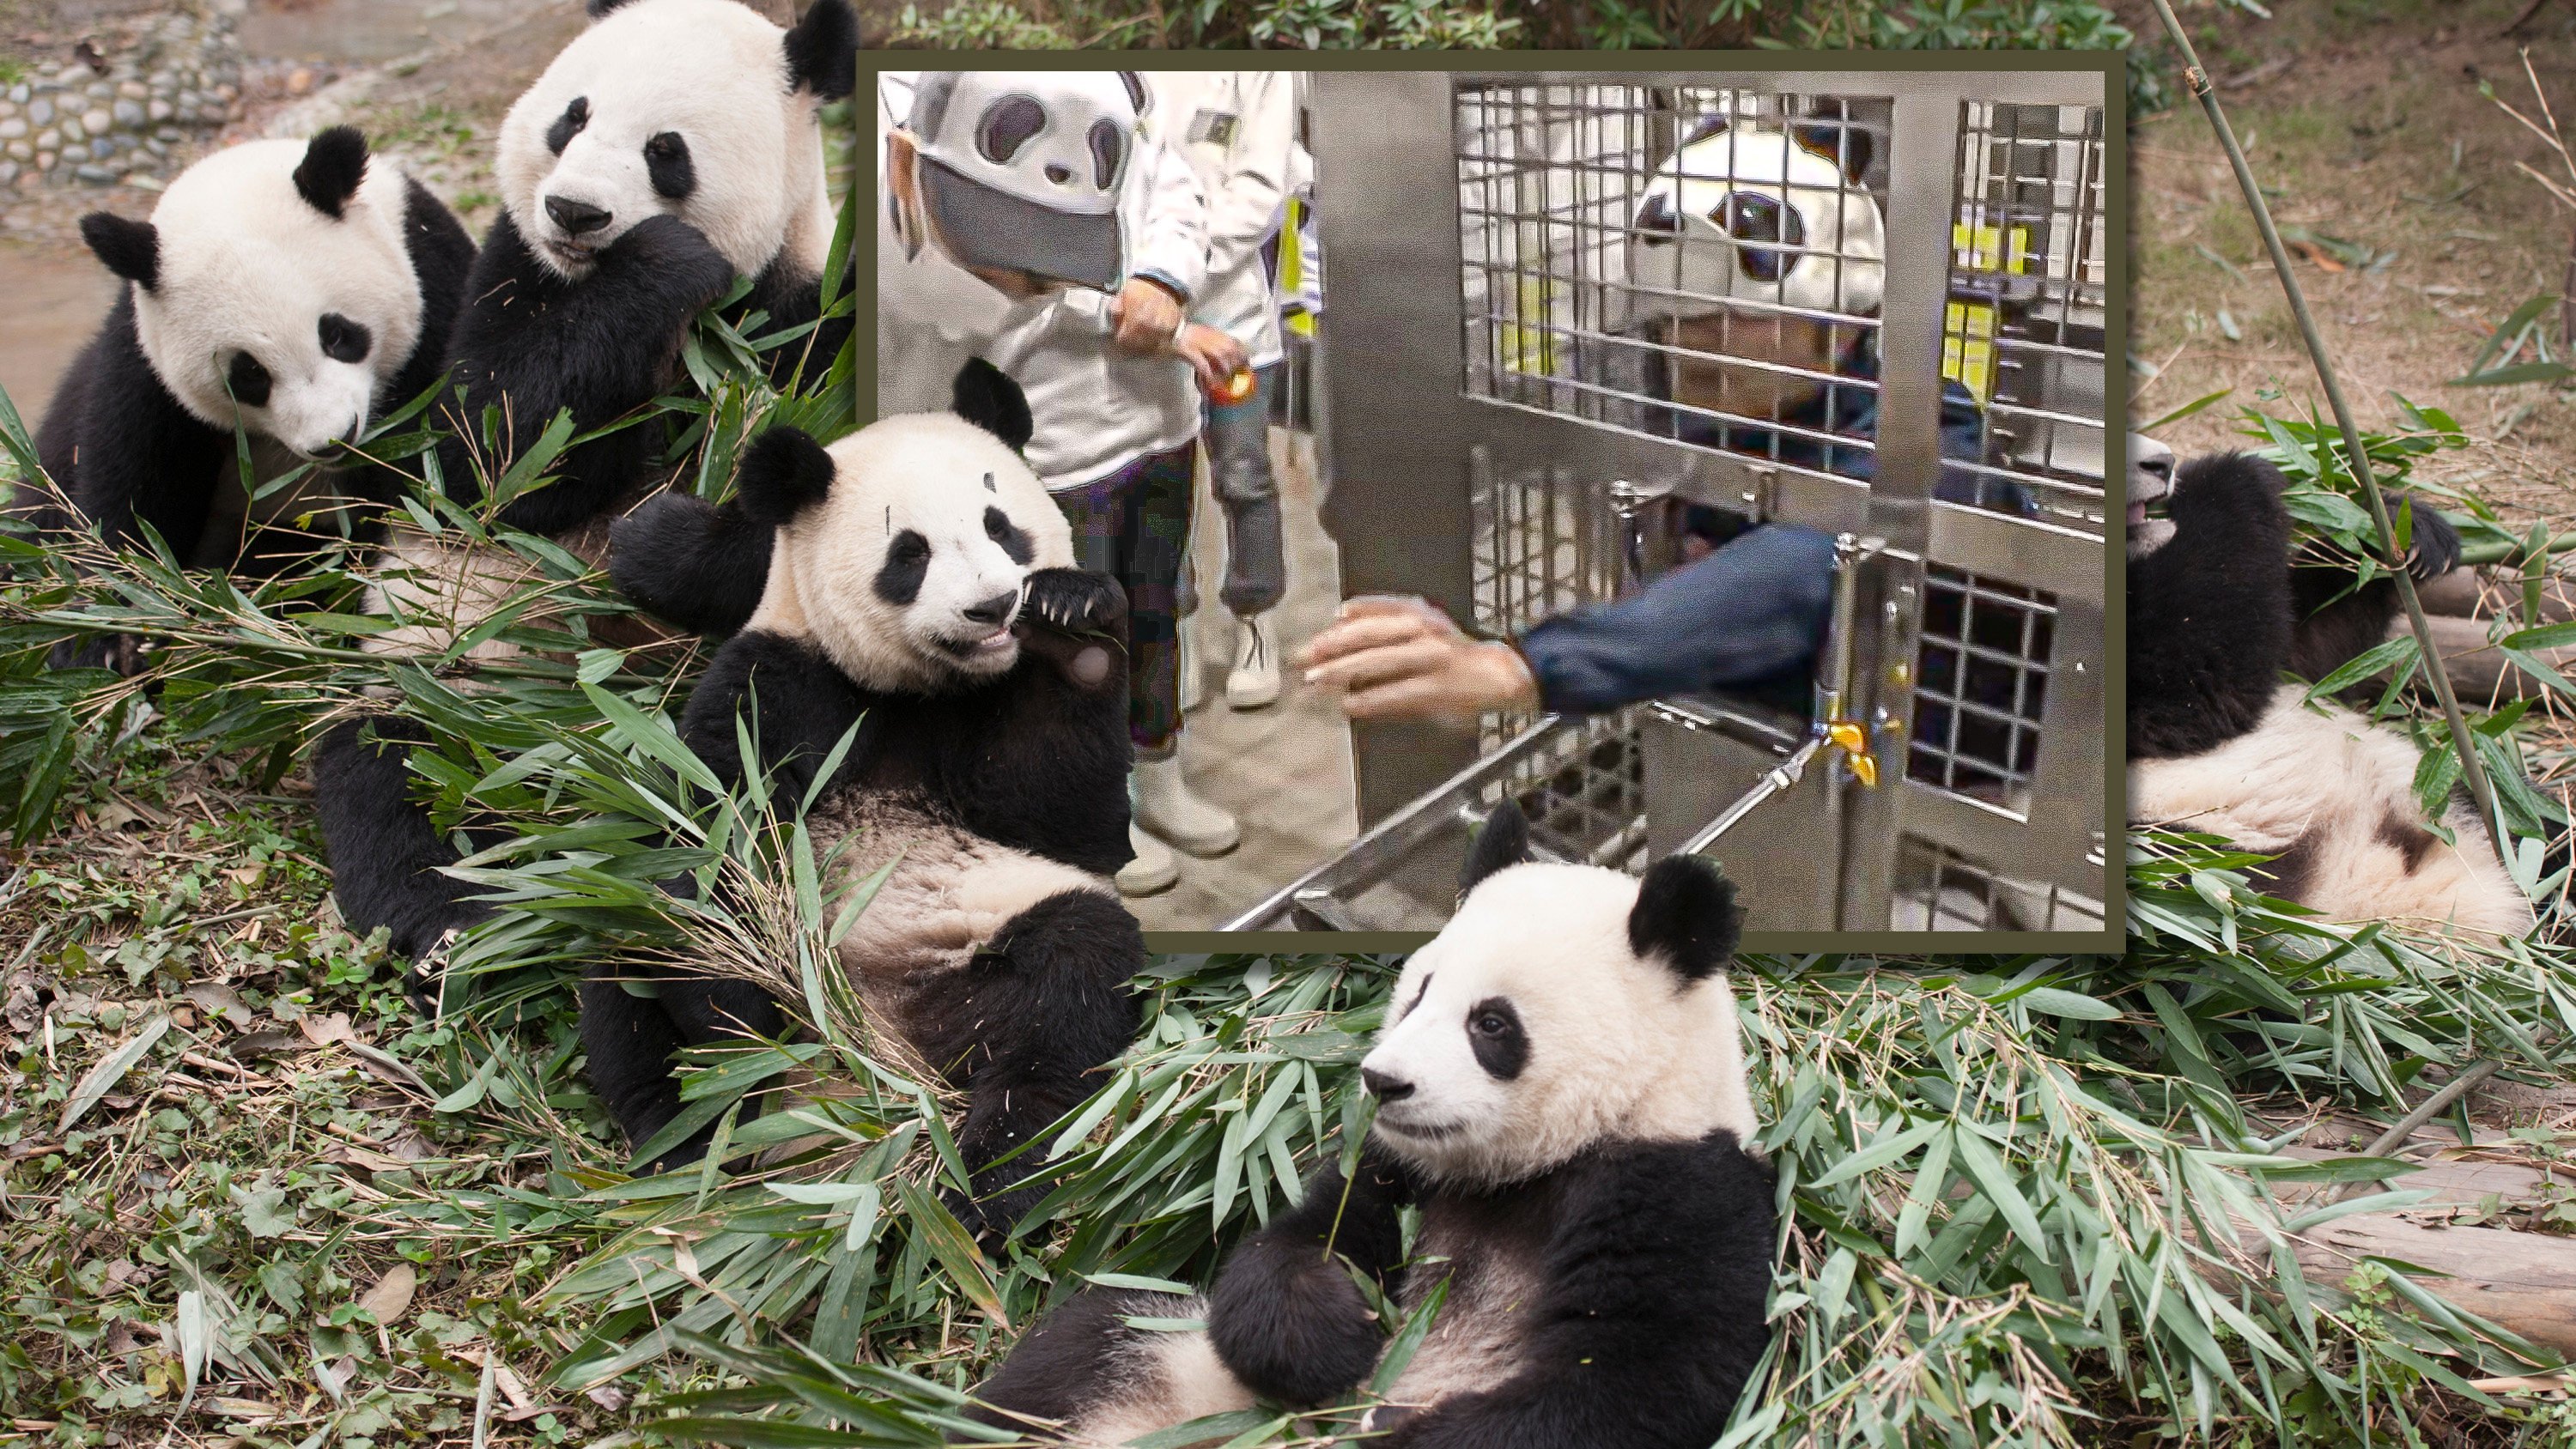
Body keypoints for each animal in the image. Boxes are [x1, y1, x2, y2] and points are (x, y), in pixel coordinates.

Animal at [24, 127, 474, 665]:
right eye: (250, 375)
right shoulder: (144, 362)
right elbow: (132, 482)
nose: (335, 439)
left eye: (337, 334)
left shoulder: (435, 297)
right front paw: (111, 638)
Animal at [312, 0, 859, 961]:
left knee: (759, 728)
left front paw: (663, 546)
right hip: (446, 662)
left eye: (666, 151)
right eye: (572, 117)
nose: (573, 211)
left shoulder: (812, 311)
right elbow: (489, 454)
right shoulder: (512, 268)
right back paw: (458, 914)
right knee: (402, 763)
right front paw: (661, 265)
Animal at [580, 360, 1144, 1237]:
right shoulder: (783, 677)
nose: (993, 606)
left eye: (1001, 527)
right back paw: (694, 1132)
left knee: (1066, 993)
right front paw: (737, 998)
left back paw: (985, 1182)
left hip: (992, 933)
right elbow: (715, 830)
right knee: (633, 965)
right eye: (909, 553)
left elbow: (1073, 820)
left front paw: (1071, 623)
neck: (920, 691)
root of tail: (873, 1061)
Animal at [958, 801, 1775, 1448]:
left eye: (1491, 1024)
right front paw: (1337, 1338)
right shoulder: (1397, 1170)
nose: (1385, 1083)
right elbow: (1294, 1248)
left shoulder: (1682, 1191)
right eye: (1418, 994)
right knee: (1077, 1352)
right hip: (1164, 1361)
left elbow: (1630, 1385)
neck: (1532, 1166)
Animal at [2129, 448, 2535, 938]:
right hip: (2217, 872)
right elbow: (2199, 676)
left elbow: (2315, 649)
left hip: (2447, 791)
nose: (2164, 464)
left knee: (2532, 827)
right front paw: (2231, 472)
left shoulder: (2303, 670)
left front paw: (2406, 531)